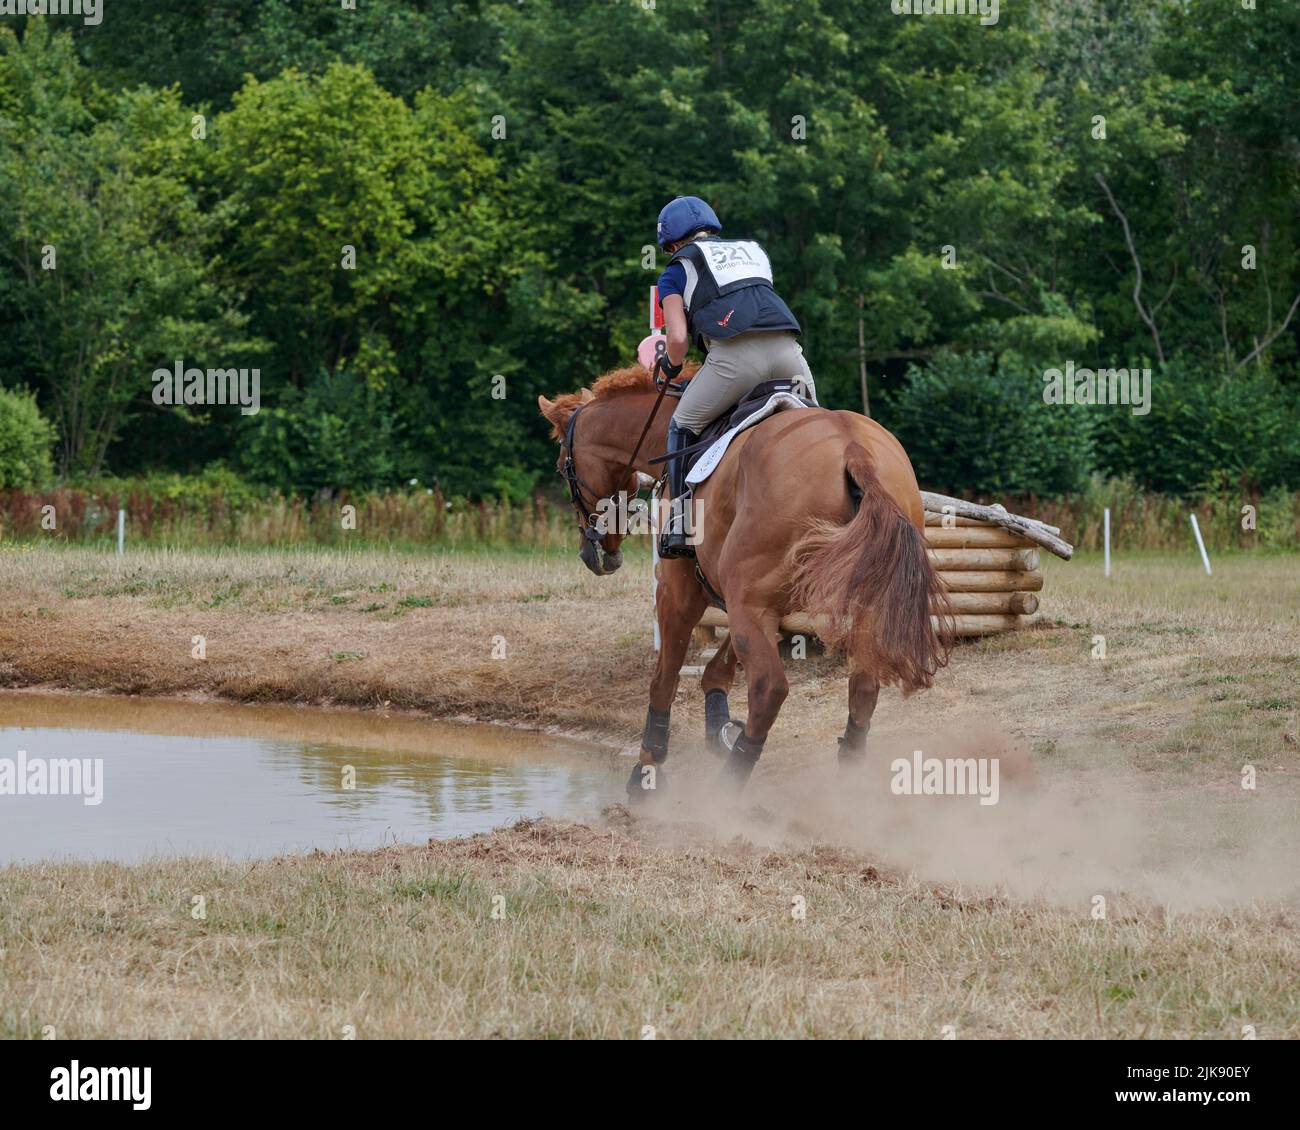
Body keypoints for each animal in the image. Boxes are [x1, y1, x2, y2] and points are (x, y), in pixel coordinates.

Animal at [540, 366, 956, 795]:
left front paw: (648, 768)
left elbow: (665, 678)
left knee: (770, 689)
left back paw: (727, 791)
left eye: (562, 465)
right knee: (863, 686)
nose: (596, 555)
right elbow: (717, 668)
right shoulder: (757, 600)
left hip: (749, 600)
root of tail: (854, 450)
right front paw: (719, 728)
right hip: (851, 599)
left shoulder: (683, 591)